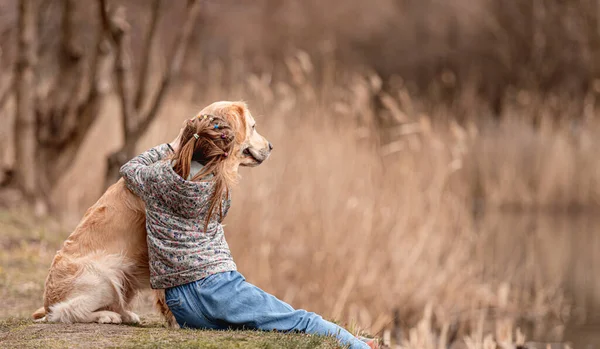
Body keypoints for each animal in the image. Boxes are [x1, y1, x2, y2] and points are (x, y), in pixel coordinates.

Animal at [30, 100, 270, 324]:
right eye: (253, 126)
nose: (271, 146)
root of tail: (47, 303)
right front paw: (174, 319)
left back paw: (126, 315)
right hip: (104, 274)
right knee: (66, 311)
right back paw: (107, 316)